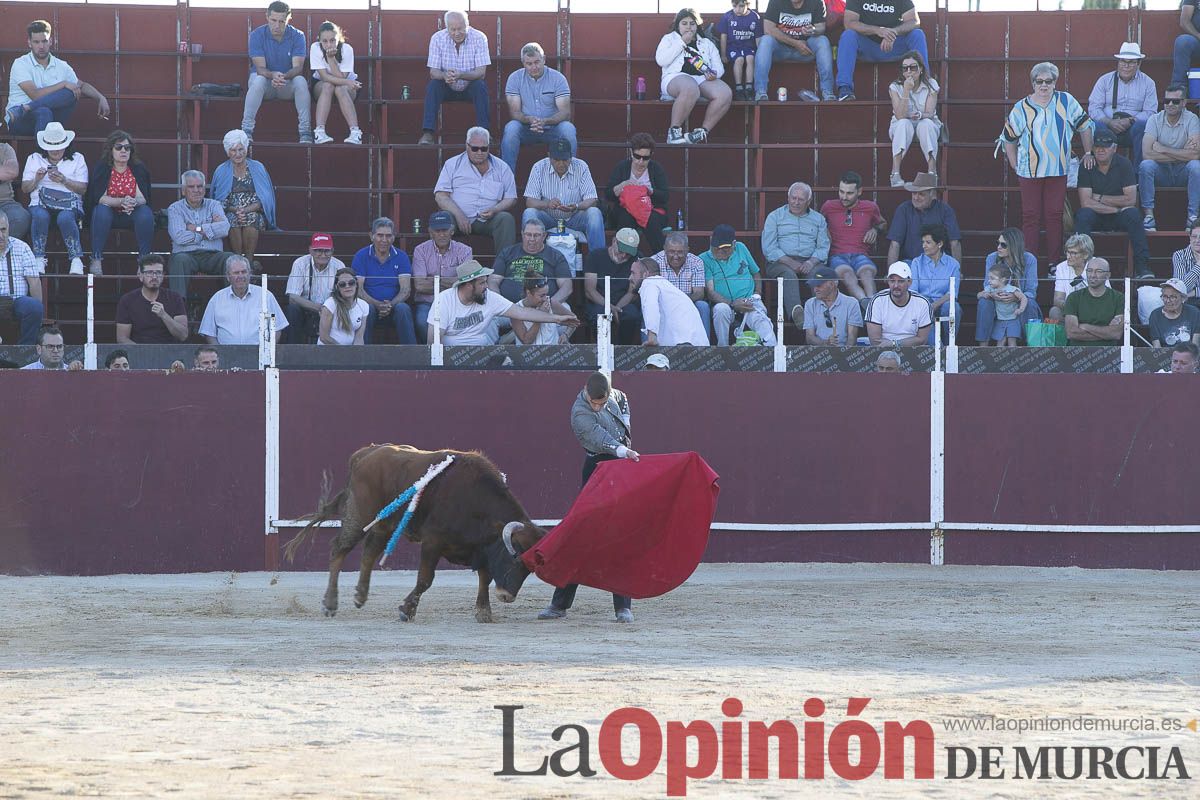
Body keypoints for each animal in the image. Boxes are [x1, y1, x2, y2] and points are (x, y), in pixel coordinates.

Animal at [288, 448, 549, 623]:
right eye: (514, 560)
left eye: (529, 568)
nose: (507, 597)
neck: (475, 501)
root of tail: (365, 453)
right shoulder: (433, 541)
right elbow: (425, 579)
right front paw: (406, 610)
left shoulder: (482, 548)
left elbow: (484, 577)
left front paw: (484, 611)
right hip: (359, 516)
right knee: (339, 549)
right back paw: (330, 604)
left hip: (384, 524)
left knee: (370, 551)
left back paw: (360, 596)